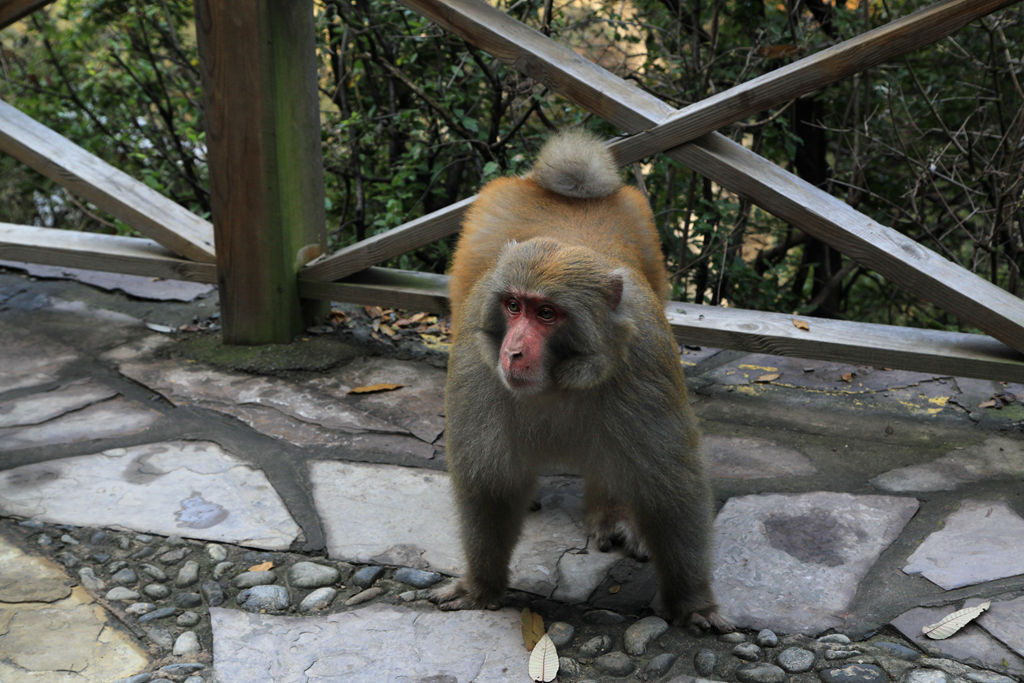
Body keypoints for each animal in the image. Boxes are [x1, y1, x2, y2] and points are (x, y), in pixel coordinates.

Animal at [436, 129, 733, 634]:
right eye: (513, 306)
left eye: (546, 313)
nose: (513, 351)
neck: (557, 382)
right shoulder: (480, 368)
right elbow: (489, 482)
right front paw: (482, 585)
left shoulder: (645, 362)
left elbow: (671, 490)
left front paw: (691, 601)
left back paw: (610, 512)